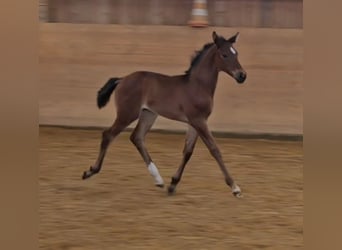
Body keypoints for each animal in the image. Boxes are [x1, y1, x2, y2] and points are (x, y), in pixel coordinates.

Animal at [81, 31, 247, 199]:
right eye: (224, 55)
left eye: (236, 53)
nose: (242, 75)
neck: (198, 85)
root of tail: (122, 79)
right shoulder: (199, 121)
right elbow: (214, 149)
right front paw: (235, 187)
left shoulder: (195, 122)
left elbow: (188, 151)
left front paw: (172, 184)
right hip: (127, 113)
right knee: (108, 135)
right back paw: (90, 171)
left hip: (148, 114)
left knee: (137, 137)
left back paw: (158, 180)